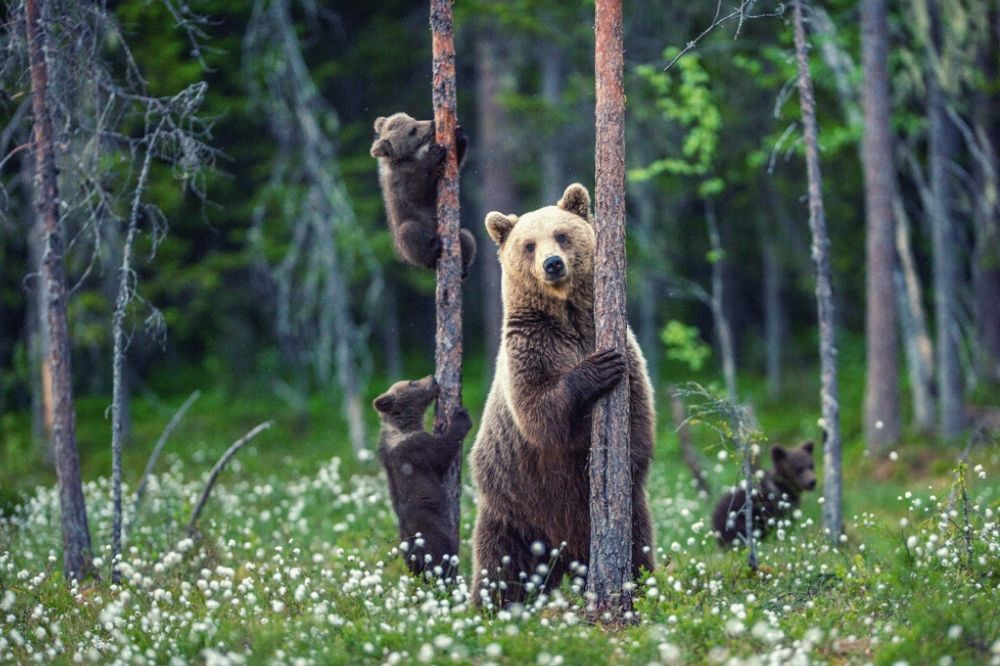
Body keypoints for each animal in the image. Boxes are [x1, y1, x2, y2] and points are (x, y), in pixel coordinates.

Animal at [372, 113, 476, 274]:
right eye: (412, 130)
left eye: (413, 119)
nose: (432, 123)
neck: (409, 157)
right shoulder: (400, 182)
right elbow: (417, 191)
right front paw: (434, 153)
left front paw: (459, 135)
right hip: (407, 238)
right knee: (409, 233)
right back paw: (433, 250)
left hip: (459, 235)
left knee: (466, 236)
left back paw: (463, 267)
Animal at [376, 374, 472, 576]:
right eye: (412, 382)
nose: (432, 378)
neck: (403, 427)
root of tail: (416, 550)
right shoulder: (418, 449)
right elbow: (443, 451)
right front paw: (461, 416)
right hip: (435, 536)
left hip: (406, 551)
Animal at [468, 182, 656, 608]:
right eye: (528, 244)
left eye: (562, 235)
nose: (552, 264)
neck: (567, 316)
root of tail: (564, 553)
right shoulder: (530, 348)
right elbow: (540, 413)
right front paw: (597, 369)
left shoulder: (621, 344)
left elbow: (638, 415)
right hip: (514, 508)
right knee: (501, 568)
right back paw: (488, 609)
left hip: (626, 515)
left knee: (639, 547)